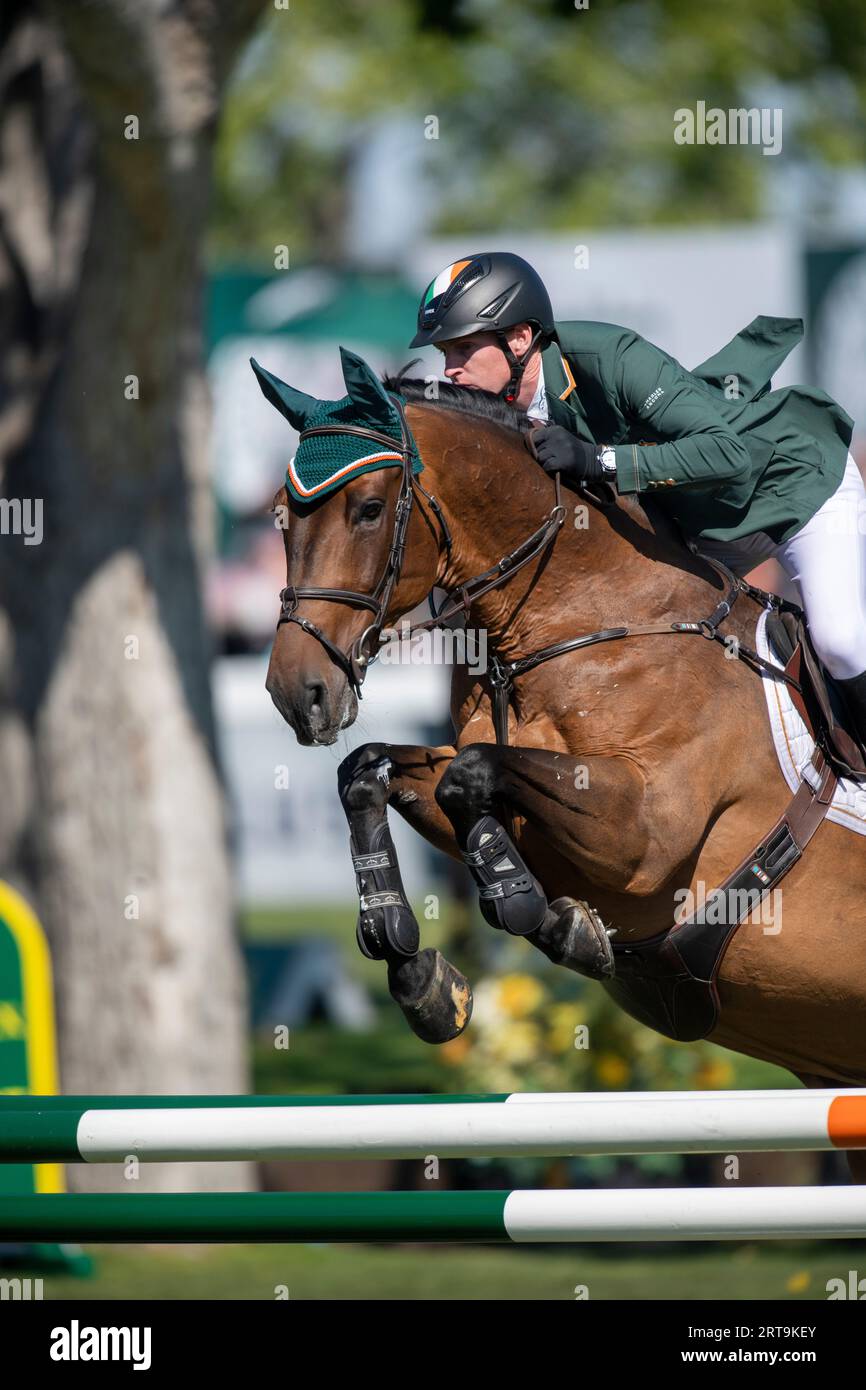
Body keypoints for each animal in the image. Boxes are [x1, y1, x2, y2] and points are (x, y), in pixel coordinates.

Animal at [257, 353, 866, 1178]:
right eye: (283, 517)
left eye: (370, 509)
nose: (299, 693)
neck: (576, 619)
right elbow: (374, 771)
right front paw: (420, 972)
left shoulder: (646, 837)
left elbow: (472, 778)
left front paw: (541, 916)